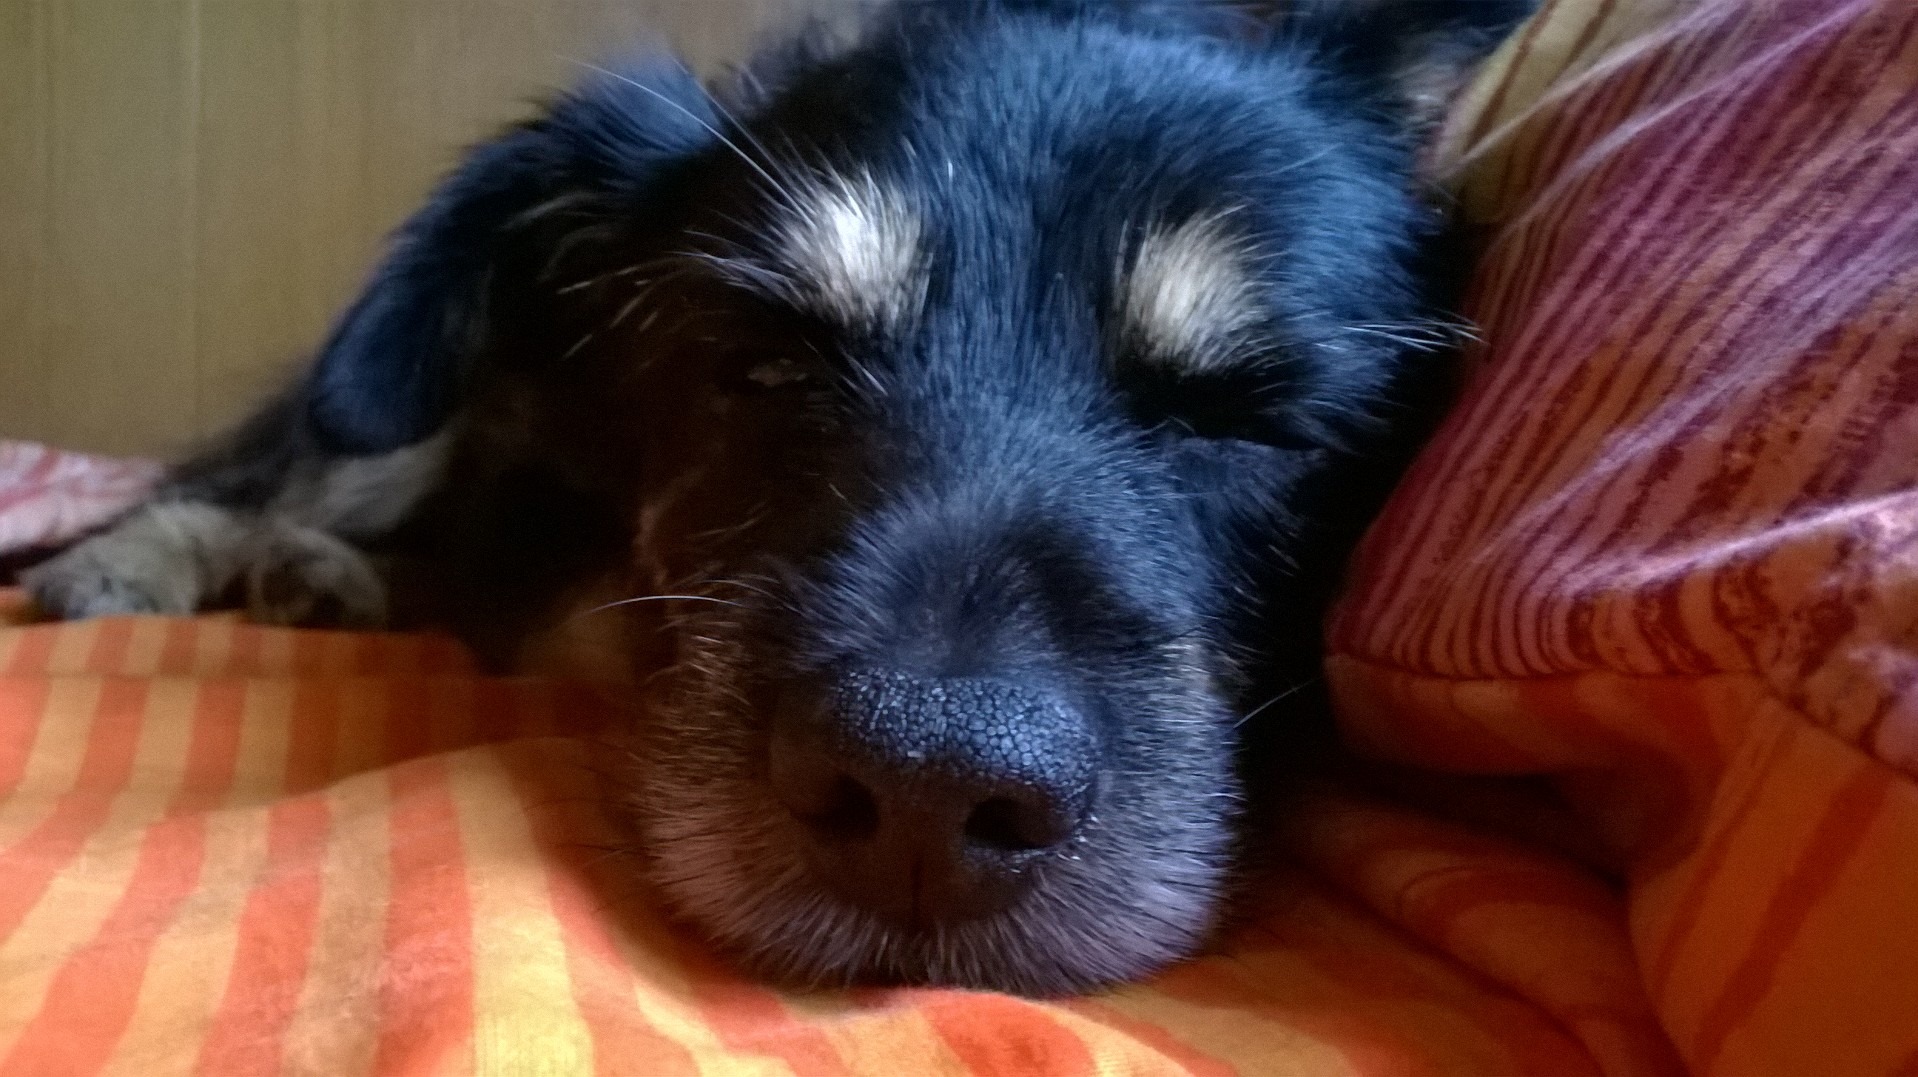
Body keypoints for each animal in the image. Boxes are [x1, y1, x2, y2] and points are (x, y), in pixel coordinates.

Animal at [25, 0, 1532, 996]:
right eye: (756, 362)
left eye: (1260, 420)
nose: (929, 791)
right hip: (401, 403)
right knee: (257, 474)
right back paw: (155, 563)